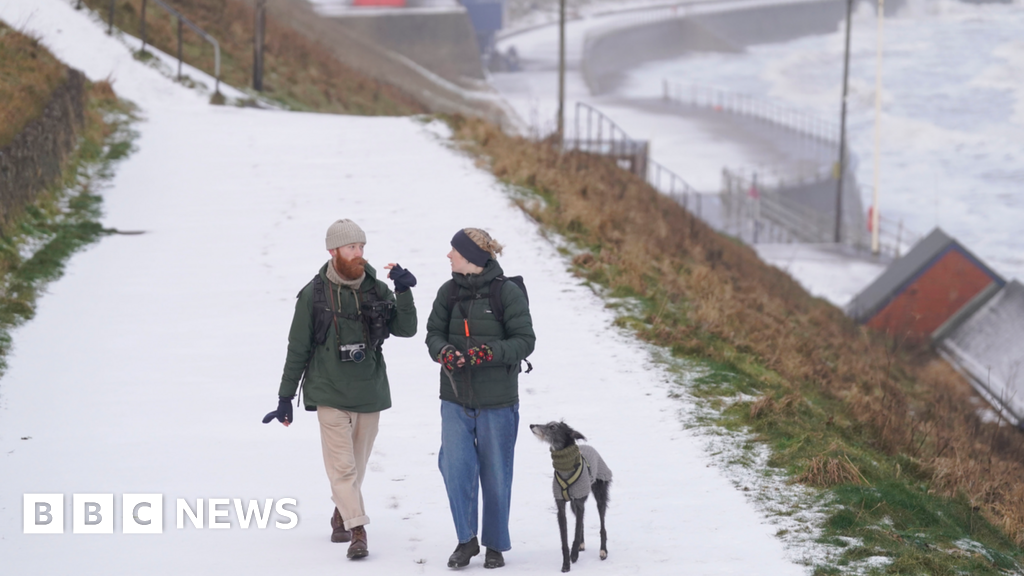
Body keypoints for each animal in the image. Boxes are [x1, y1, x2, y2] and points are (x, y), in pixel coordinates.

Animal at [532, 420, 610, 569]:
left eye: (552, 427)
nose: (531, 426)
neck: (566, 468)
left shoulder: (579, 502)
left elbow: (576, 531)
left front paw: (573, 555)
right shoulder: (561, 506)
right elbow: (566, 538)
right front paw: (566, 564)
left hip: (600, 495)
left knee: (602, 524)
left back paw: (603, 551)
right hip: (574, 504)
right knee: (582, 523)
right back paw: (582, 544)